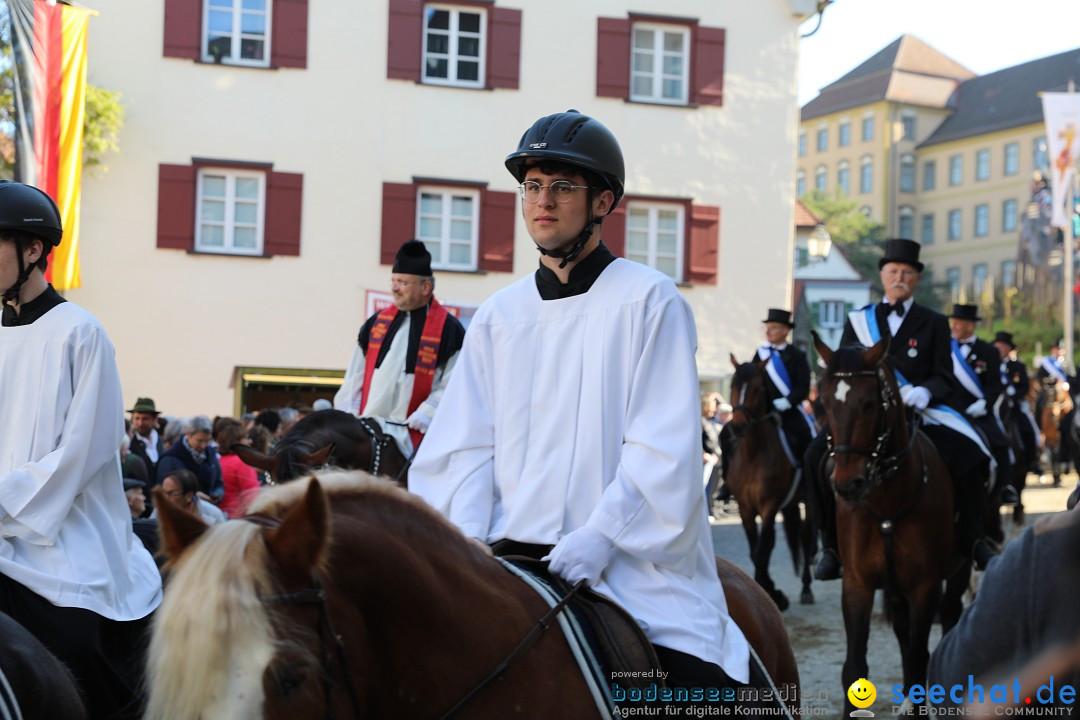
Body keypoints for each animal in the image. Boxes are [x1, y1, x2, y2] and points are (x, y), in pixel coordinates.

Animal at [721, 354, 812, 608]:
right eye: (733, 386)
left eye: (757, 387)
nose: (737, 426)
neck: (754, 455)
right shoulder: (745, 508)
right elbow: (756, 550)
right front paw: (769, 588)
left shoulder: (769, 506)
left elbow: (762, 551)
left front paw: (773, 594)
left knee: (805, 539)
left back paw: (806, 588)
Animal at [816, 334, 972, 716]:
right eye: (823, 403)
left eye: (869, 403)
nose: (847, 485)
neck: (886, 503)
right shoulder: (857, 585)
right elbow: (854, 668)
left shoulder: (925, 587)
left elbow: (919, 660)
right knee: (903, 632)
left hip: (956, 571)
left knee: (949, 621)